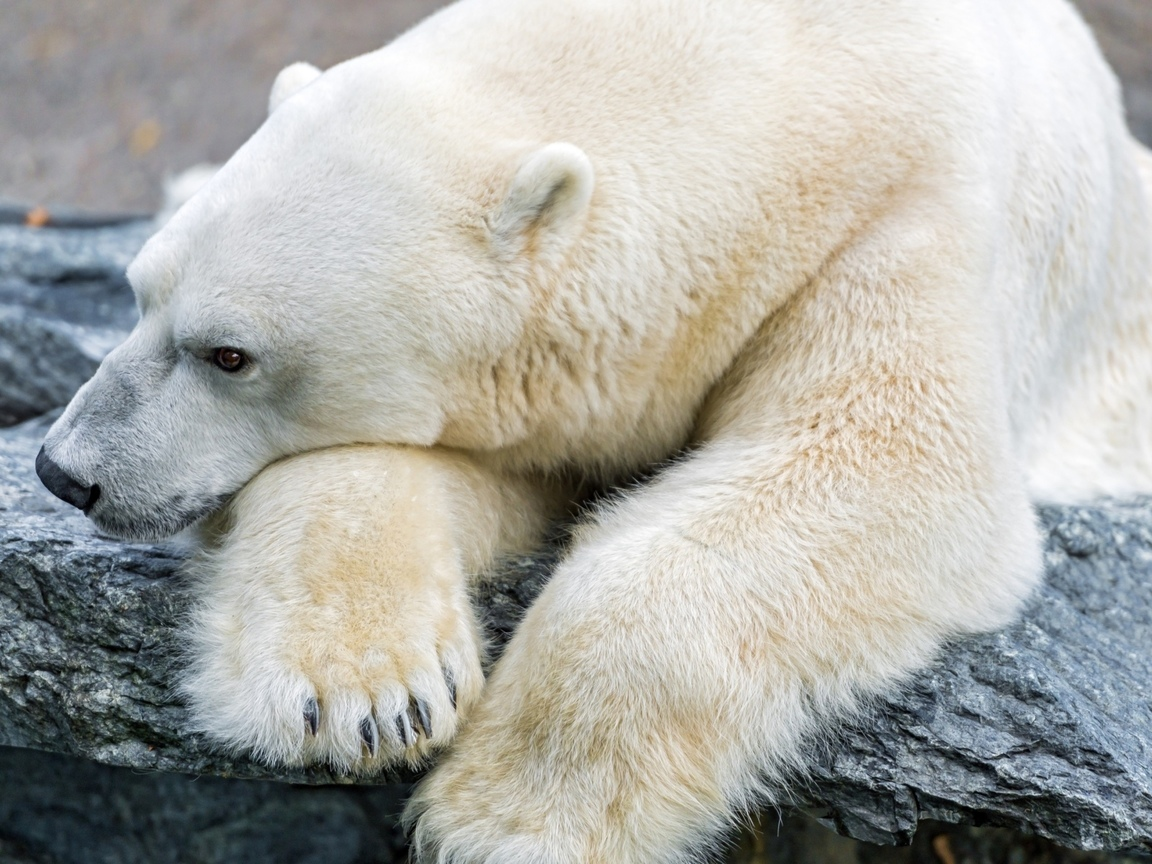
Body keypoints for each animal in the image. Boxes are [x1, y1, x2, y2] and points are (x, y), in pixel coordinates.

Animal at [31, 0, 1152, 861]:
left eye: (230, 355)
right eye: (138, 295)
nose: (64, 470)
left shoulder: (902, 219)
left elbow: (892, 468)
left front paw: (501, 819)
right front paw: (368, 697)